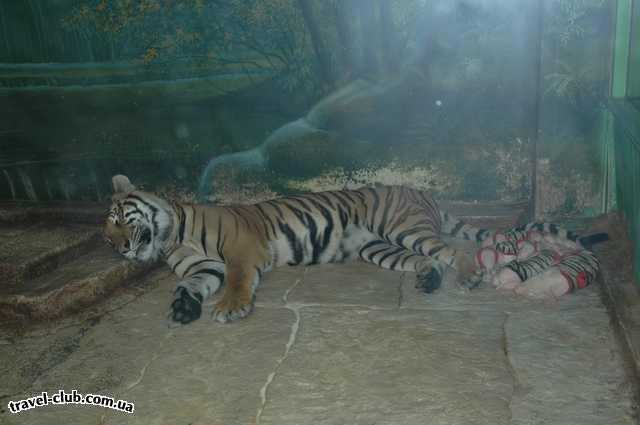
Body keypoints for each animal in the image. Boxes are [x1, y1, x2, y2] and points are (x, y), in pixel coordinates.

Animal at [104, 174, 490, 322]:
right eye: (107, 231)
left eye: (120, 218)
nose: (116, 247)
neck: (170, 238)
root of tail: (423, 193)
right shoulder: (205, 267)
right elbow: (188, 285)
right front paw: (184, 308)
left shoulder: (242, 251)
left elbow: (238, 280)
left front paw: (231, 307)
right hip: (380, 248)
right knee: (428, 261)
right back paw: (429, 282)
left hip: (403, 230)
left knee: (454, 252)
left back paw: (469, 277)